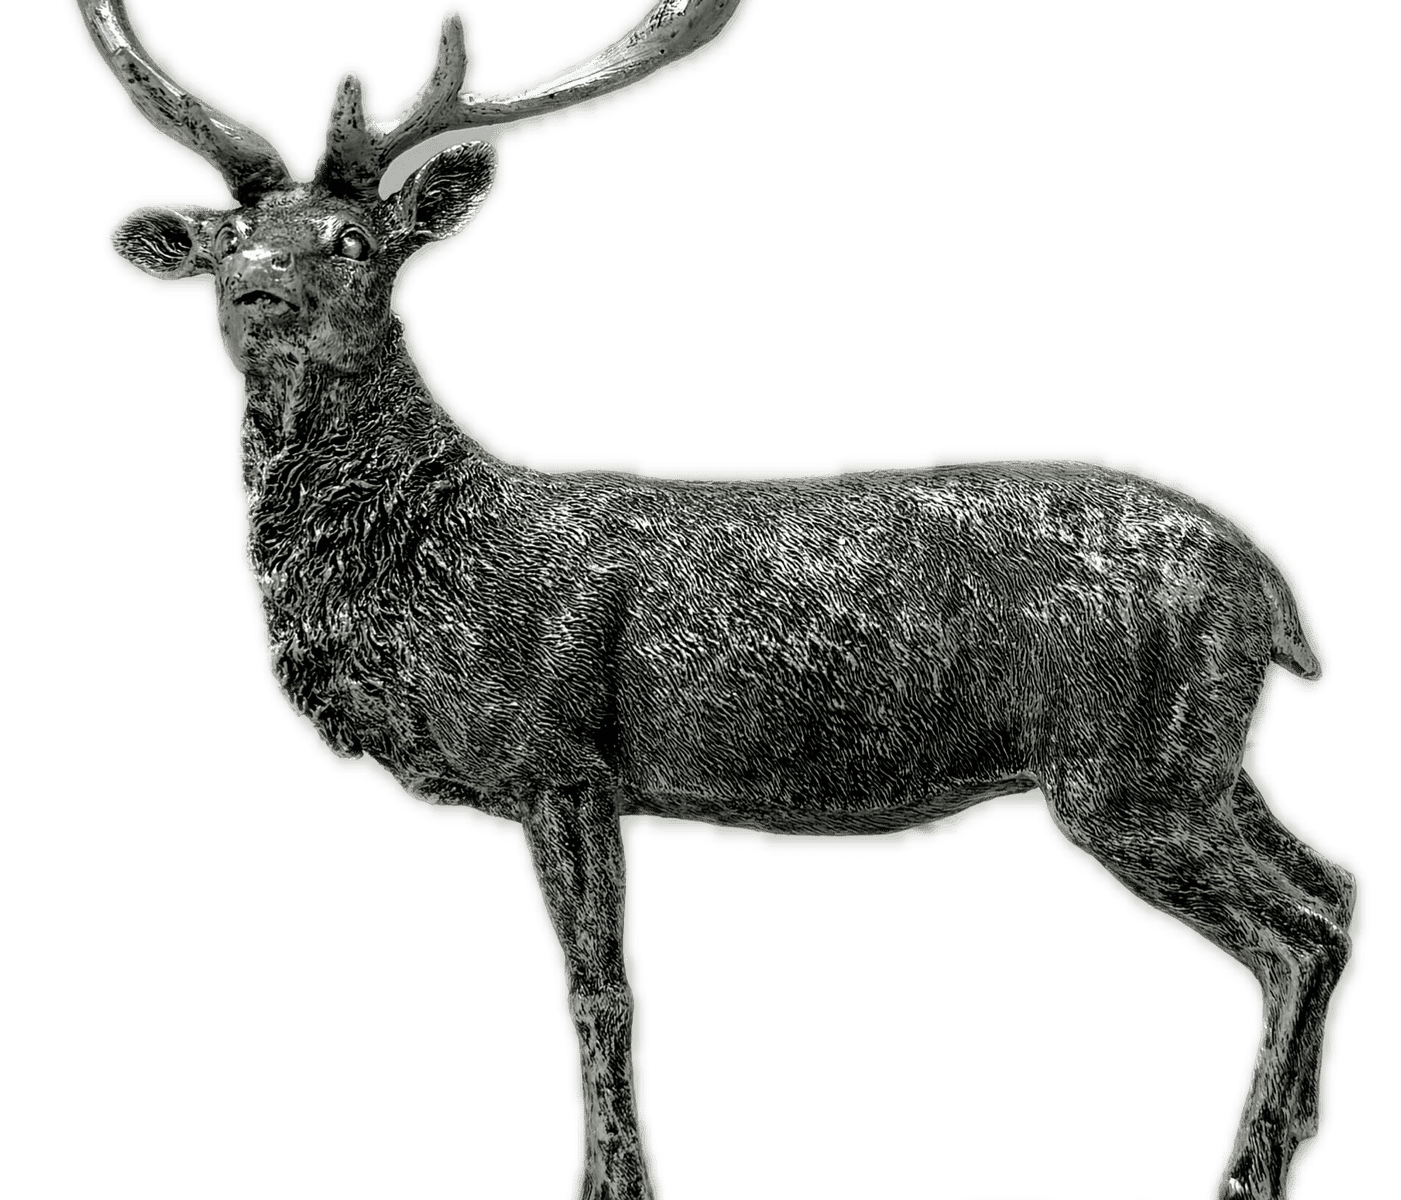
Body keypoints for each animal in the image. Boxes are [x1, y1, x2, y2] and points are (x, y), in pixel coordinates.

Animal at [71, 2, 1361, 1197]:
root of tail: (1273, 594)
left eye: (351, 239)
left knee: (1292, 933)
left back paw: (1246, 1170)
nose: (255, 296)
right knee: (1336, 886)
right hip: (1201, 757)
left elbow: (598, 989)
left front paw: (613, 1184)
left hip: (1124, 771)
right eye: (231, 237)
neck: (428, 577)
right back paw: (1287, 1139)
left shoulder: (558, 757)